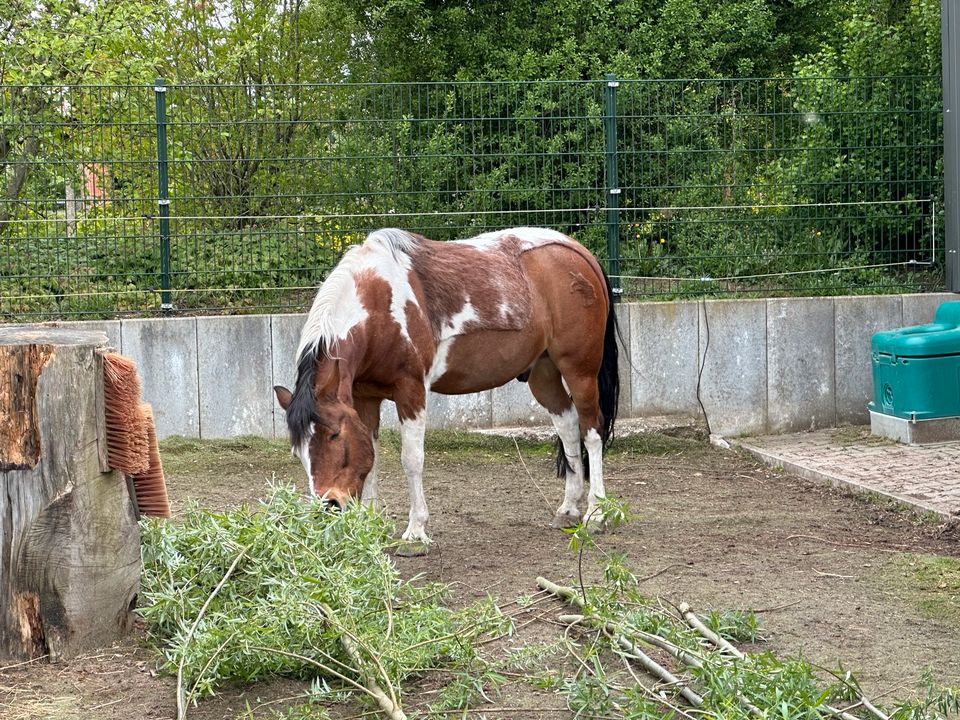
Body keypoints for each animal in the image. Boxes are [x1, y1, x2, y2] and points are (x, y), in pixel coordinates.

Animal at [276, 228, 624, 544]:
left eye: (334, 435)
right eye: (297, 450)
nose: (329, 505)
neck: (378, 307)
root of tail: (581, 254)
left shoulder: (411, 390)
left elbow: (412, 459)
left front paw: (416, 531)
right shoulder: (364, 397)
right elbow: (371, 456)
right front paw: (370, 525)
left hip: (579, 371)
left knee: (592, 432)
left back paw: (596, 513)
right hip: (544, 373)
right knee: (568, 426)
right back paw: (568, 510)